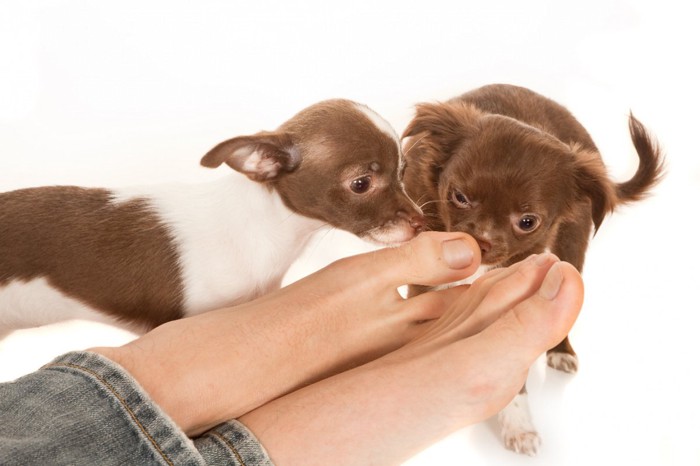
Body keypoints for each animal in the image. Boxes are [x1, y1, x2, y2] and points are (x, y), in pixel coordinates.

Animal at [402, 83, 664, 456]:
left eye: (527, 222)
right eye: (459, 196)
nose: (480, 241)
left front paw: (518, 425)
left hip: (570, 250)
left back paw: (561, 352)